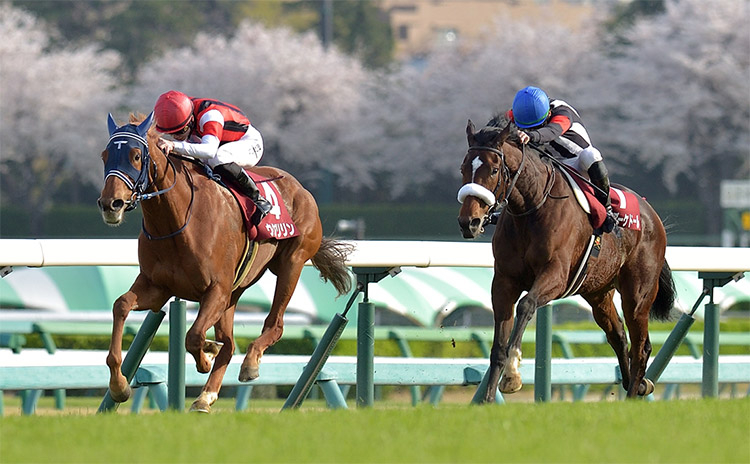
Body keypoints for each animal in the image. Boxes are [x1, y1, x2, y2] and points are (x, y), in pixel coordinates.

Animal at [98, 113, 354, 414]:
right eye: (104, 156)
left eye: (136, 156)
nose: (110, 204)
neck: (177, 222)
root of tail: (300, 188)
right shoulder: (157, 287)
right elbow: (121, 305)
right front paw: (119, 386)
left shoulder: (215, 290)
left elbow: (194, 336)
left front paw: (206, 356)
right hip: (237, 289)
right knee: (230, 343)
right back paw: (205, 396)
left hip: (291, 263)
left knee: (274, 324)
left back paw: (250, 363)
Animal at [456, 118, 680, 400]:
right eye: (463, 167)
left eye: (494, 169)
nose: (469, 222)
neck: (532, 208)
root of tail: (652, 215)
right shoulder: (504, 282)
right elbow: (498, 348)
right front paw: (486, 399)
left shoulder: (556, 275)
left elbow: (527, 305)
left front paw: (512, 375)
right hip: (597, 291)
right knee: (618, 334)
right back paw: (636, 384)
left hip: (638, 294)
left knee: (641, 346)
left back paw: (632, 395)